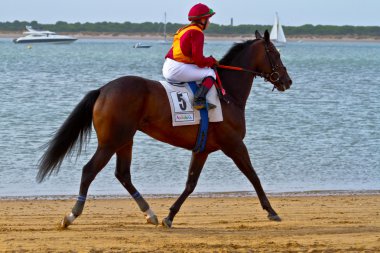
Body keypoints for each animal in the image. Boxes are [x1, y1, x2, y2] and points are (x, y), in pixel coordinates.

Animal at [37, 30, 292, 229]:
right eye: (276, 54)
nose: (287, 81)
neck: (227, 94)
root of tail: (103, 90)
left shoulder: (202, 149)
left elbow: (190, 183)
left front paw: (169, 216)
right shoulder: (234, 145)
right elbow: (253, 176)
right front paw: (271, 211)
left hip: (125, 140)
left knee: (123, 174)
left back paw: (149, 213)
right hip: (111, 141)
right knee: (89, 170)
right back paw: (71, 215)